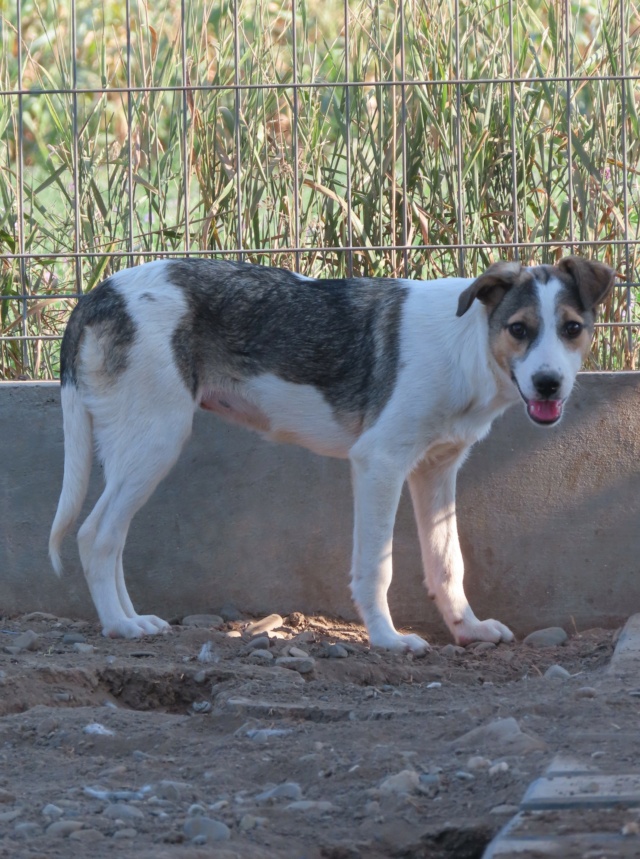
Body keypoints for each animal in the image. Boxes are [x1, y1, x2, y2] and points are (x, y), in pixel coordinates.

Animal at [48, 255, 608, 652]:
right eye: (519, 329)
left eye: (572, 328)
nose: (549, 383)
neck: (466, 346)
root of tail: (97, 294)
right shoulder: (379, 463)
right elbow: (377, 565)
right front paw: (387, 639)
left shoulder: (436, 471)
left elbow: (448, 563)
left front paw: (467, 629)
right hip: (157, 439)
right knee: (95, 534)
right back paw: (119, 627)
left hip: (133, 446)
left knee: (112, 537)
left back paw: (132, 617)